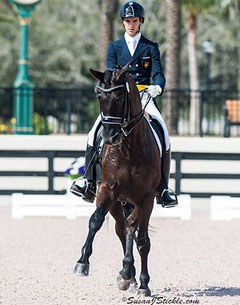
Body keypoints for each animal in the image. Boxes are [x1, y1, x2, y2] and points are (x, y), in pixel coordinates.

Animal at [73, 64, 161, 296]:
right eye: (98, 95)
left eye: (121, 96)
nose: (110, 137)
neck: (128, 149)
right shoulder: (107, 190)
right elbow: (95, 221)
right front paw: (82, 262)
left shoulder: (146, 199)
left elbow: (142, 240)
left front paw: (143, 284)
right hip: (118, 202)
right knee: (122, 229)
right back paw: (128, 275)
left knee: (131, 229)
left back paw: (132, 276)